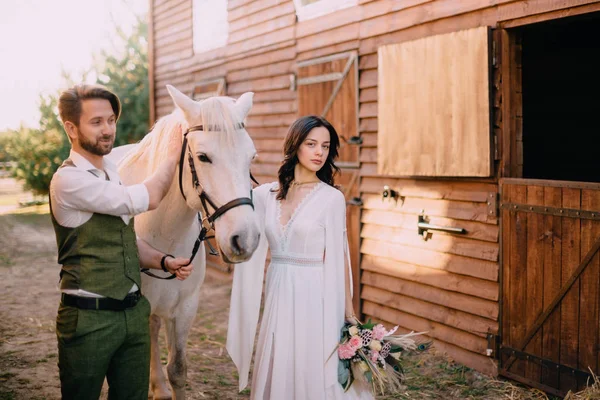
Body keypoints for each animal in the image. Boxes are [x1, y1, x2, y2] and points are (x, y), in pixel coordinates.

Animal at [110, 85, 260, 400]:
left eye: (251, 157)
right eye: (203, 157)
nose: (246, 238)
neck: (163, 231)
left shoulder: (186, 308)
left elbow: (178, 370)